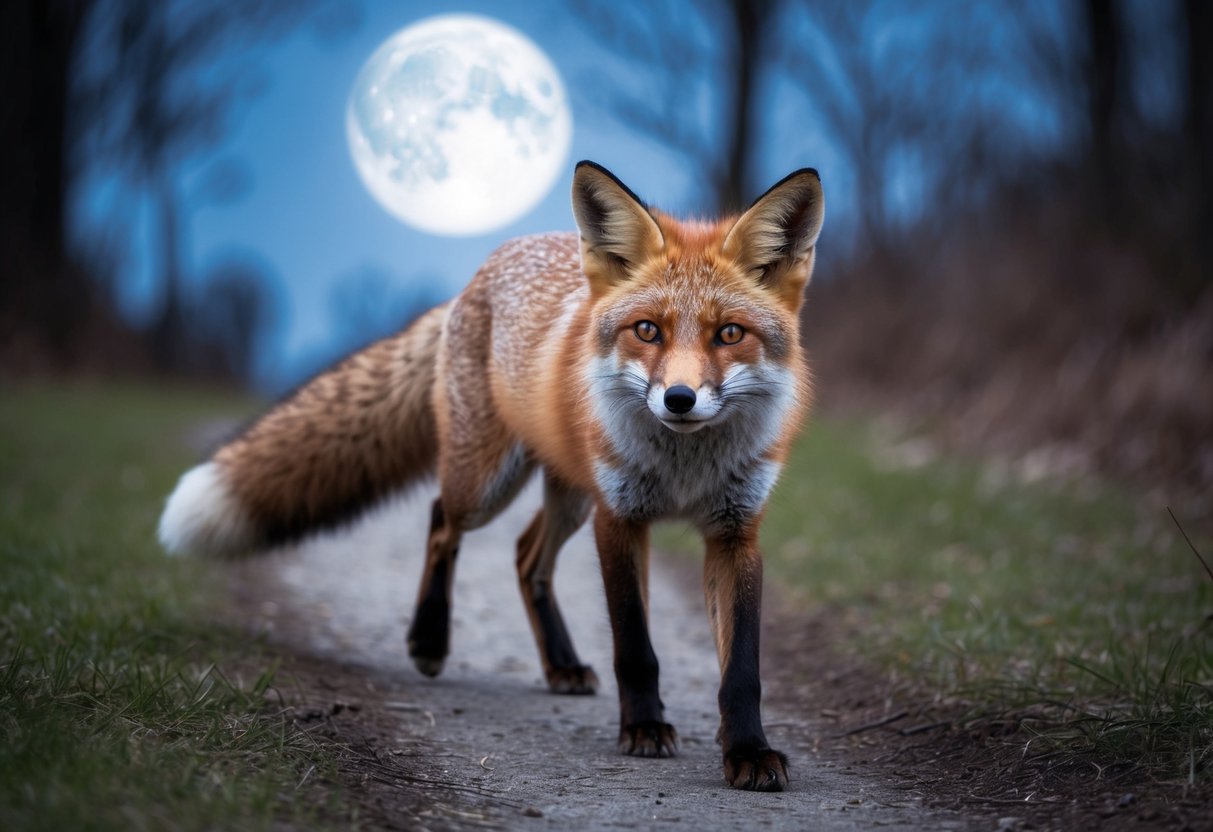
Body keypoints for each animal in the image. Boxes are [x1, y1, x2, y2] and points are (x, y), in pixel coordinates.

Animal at [158, 160, 824, 792]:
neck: (685, 468)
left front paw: (748, 752)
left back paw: (560, 665)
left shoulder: (735, 532)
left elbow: (742, 670)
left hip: (569, 495)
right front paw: (643, 728)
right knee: (440, 521)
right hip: (487, 484)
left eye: (729, 334)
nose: (679, 400)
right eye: (648, 330)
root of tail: (479, 272)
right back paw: (430, 641)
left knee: (527, 557)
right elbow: (635, 646)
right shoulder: (620, 519)